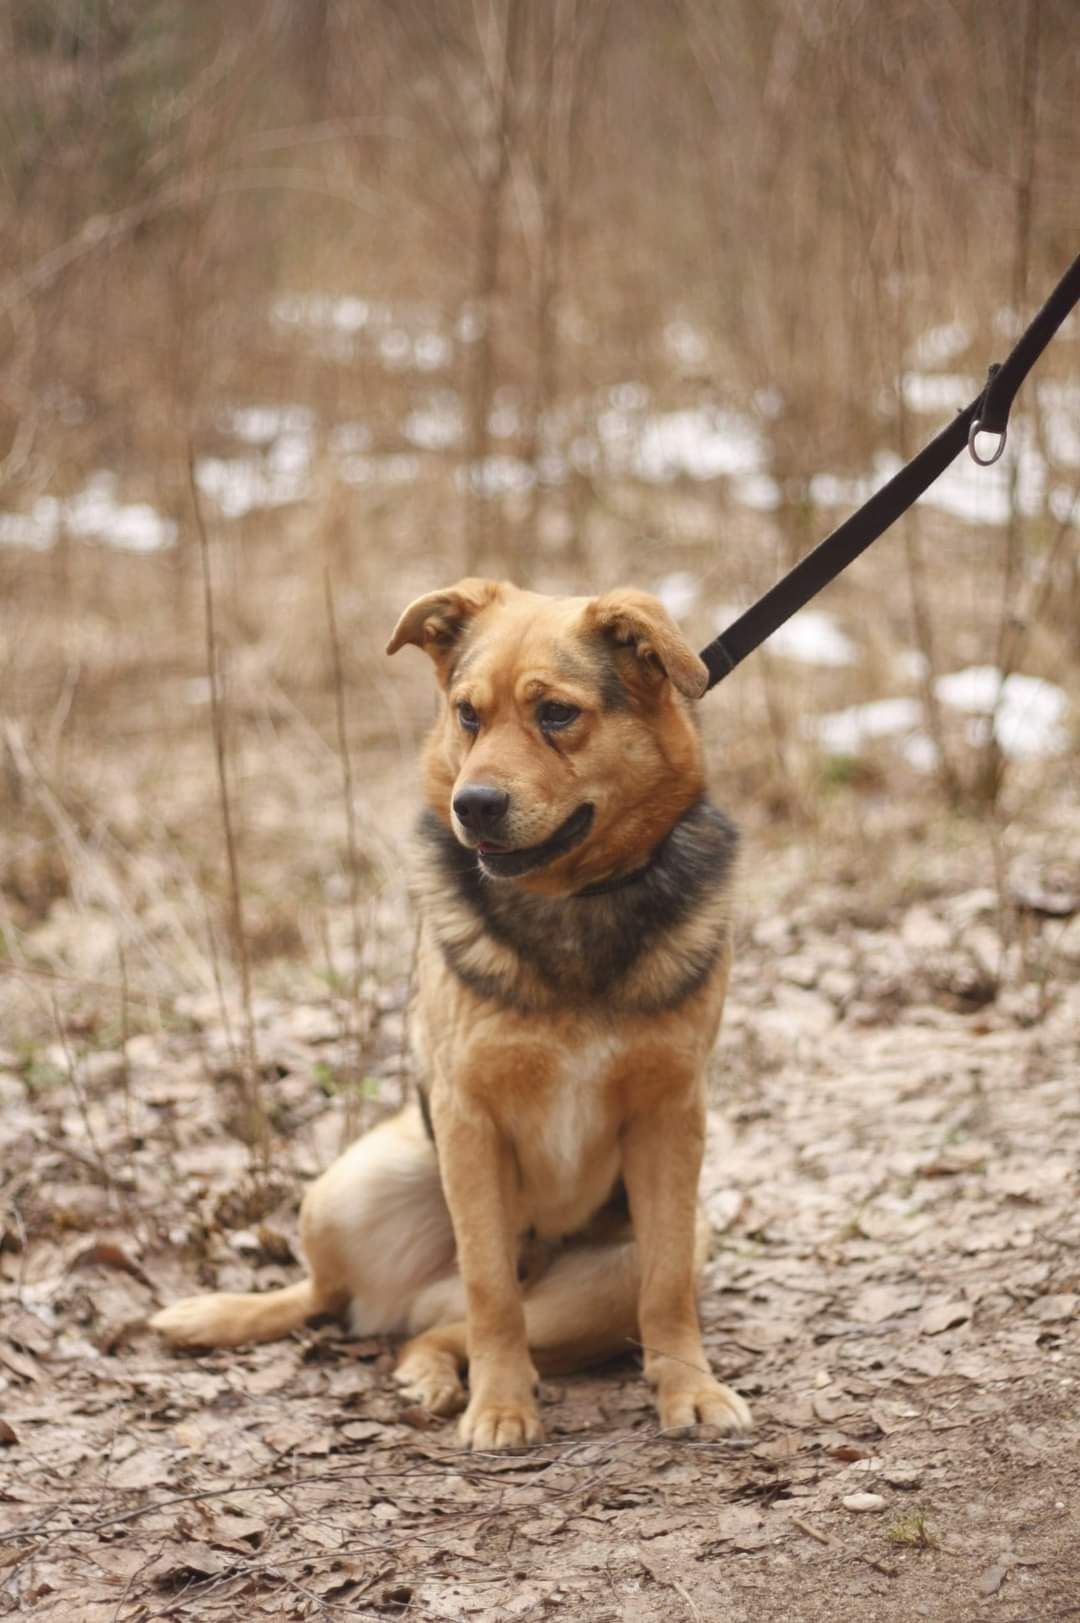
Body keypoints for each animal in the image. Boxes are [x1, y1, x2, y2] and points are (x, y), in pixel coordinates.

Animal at [153, 581, 750, 1447]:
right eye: (468, 714)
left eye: (557, 714)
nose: (475, 804)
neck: (568, 906)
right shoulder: (469, 1118)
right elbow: (490, 1285)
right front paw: (501, 1405)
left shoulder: (672, 1116)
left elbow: (667, 1284)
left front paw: (688, 1389)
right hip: (351, 1185)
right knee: (348, 1299)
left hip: (611, 1270)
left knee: (439, 1327)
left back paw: (430, 1371)